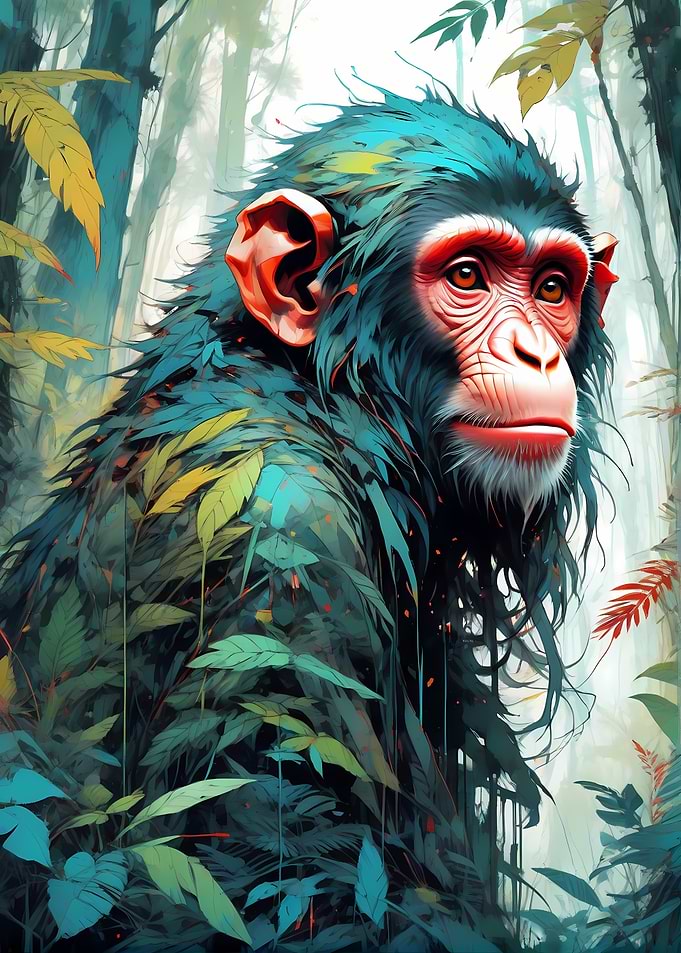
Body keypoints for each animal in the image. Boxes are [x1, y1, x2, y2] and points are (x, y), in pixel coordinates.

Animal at [0, 86, 618, 951]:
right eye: (467, 274)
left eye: (552, 288)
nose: (535, 351)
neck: (324, 401)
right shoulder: (279, 555)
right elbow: (282, 883)